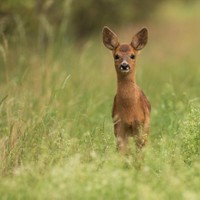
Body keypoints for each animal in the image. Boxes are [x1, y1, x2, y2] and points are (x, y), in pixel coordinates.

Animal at [102, 26, 151, 155]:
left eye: (132, 55)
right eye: (116, 56)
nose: (124, 65)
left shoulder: (139, 123)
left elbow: (139, 151)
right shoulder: (118, 124)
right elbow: (123, 151)